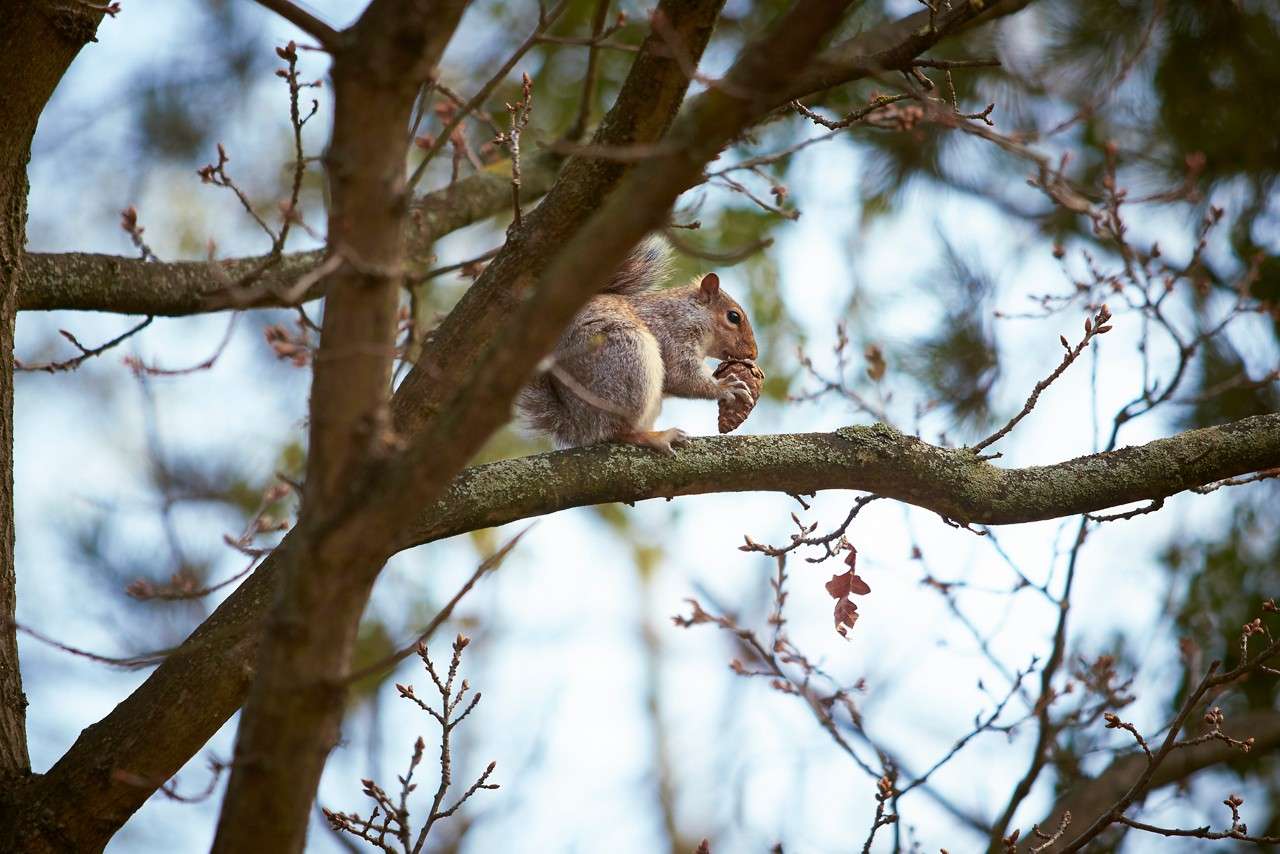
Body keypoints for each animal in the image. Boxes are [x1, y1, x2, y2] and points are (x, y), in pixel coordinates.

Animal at [517, 239, 759, 454]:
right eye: (734, 317)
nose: (753, 354)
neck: (690, 312)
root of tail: (579, 423)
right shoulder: (670, 334)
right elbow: (680, 376)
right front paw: (726, 387)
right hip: (628, 359)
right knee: (617, 431)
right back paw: (656, 437)